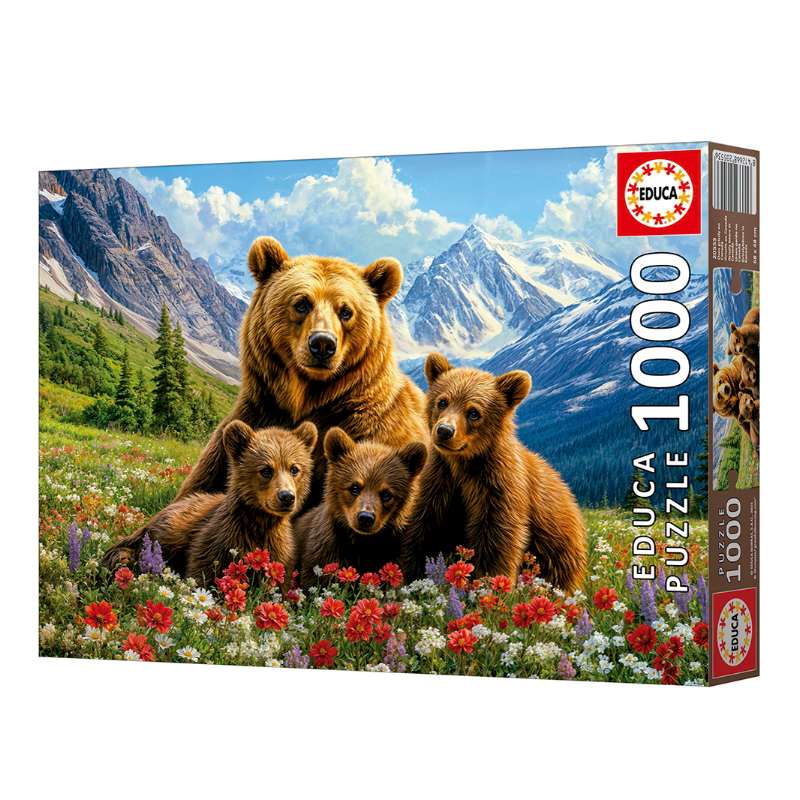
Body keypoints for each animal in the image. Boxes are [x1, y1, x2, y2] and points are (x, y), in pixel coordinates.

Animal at [101, 421, 317, 586]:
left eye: (294, 469)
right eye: (265, 470)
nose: (287, 497)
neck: (260, 521)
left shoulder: (279, 550)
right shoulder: (217, 536)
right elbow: (202, 569)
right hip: (169, 530)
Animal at [173, 236, 428, 511]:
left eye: (346, 311)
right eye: (302, 303)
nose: (323, 344)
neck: (307, 396)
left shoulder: (373, 433)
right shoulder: (256, 415)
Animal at [294, 428, 428, 589]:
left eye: (386, 494)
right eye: (354, 488)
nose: (365, 518)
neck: (362, 544)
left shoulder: (393, 555)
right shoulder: (323, 552)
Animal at [400, 353, 587, 592]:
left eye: (473, 412)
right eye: (442, 401)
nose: (444, 431)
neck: (464, 465)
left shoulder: (497, 487)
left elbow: (497, 538)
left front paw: (490, 585)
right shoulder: (440, 481)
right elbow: (423, 529)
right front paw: (412, 577)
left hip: (558, 545)